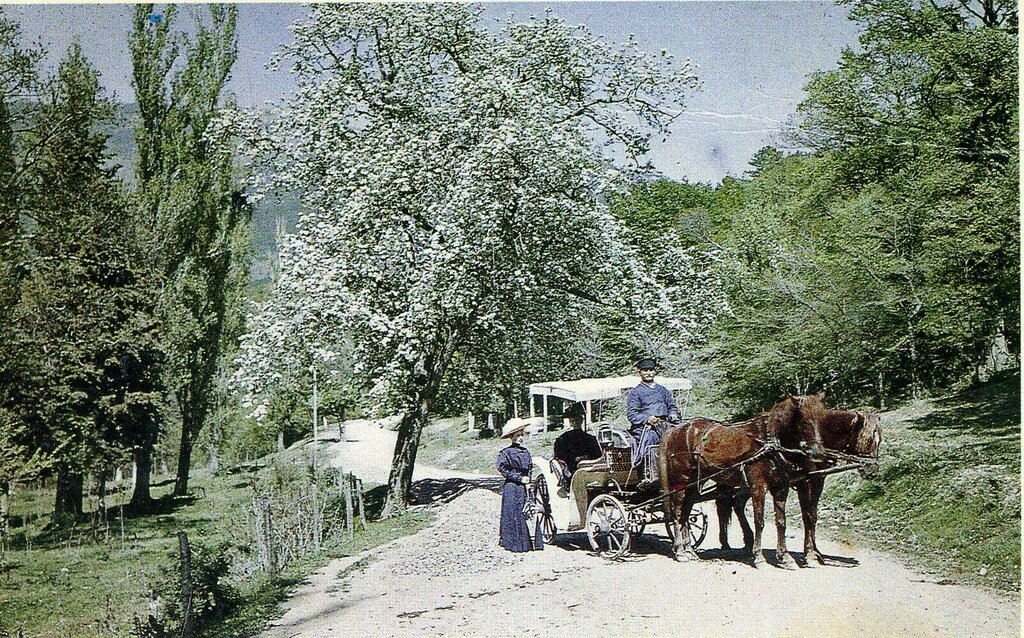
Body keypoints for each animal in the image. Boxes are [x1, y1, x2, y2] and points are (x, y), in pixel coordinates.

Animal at [659, 391, 827, 565]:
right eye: (804, 421)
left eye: (823, 420)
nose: (818, 453)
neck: (769, 441)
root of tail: (675, 430)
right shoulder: (758, 486)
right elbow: (759, 521)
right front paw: (758, 557)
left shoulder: (781, 487)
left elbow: (781, 522)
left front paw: (785, 557)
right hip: (680, 481)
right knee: (677, 511)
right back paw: (680, 550)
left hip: (694, 483)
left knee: (686, 511)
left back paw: (690, 550)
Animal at [716, 409, 884, 565]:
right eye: (868, 440)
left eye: (880, 440)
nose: (873, 470)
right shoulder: (804, 482)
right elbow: (807, 515)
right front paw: (809, 554)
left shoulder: (817, 480)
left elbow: (812, 515)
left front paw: (815, 552)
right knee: (724, 505)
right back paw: (729, 542)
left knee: (735, 505)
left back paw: (743, 541)